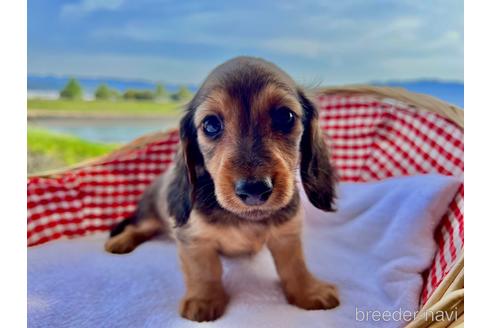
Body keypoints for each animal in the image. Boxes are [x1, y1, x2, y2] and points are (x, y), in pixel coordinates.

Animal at [106, 55, 340, 320]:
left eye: (286, 116)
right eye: (210, 124)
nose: (254, 190)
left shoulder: (287, 235)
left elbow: (295, 265)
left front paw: (308, 291)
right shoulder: (194, 239)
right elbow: (205, 271)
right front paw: (204, 300)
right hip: (149, 216)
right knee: (138, 228)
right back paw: (120, 242)